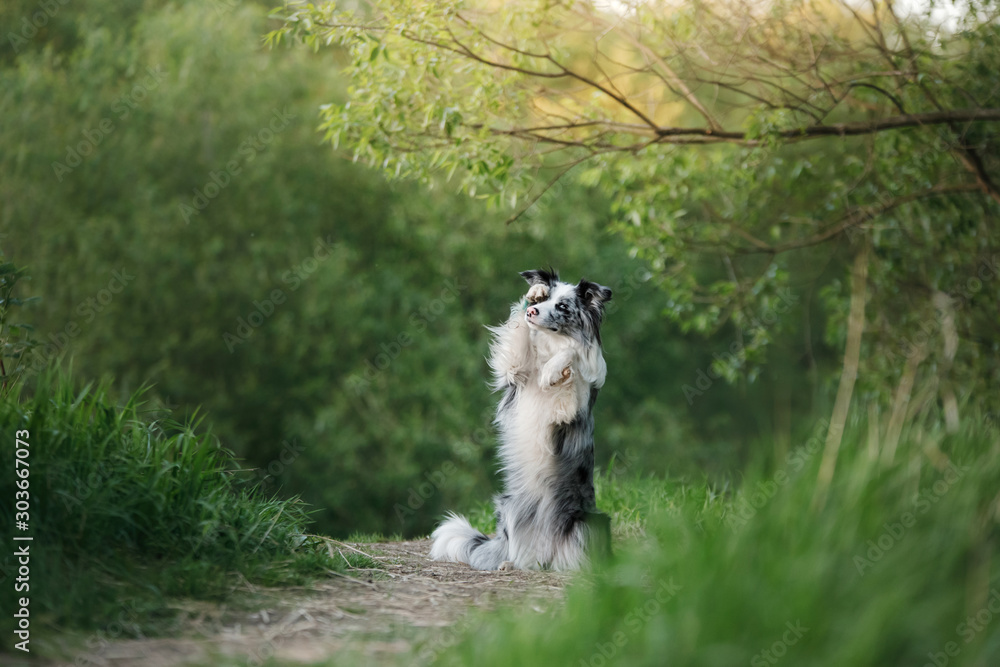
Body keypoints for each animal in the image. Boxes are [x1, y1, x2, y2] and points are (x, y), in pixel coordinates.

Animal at [432, 268, 612, 572]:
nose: (533, 310)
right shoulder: (516, 368)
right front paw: (531, 294)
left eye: (563, 307)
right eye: (544, 300)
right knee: (525, 554)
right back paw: (512, 564)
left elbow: (574, 356)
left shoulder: (569, 408)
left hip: (588, 522)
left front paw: (555, 371)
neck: (553, 343)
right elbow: (518, 336)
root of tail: (549, 554)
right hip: (512, 510)